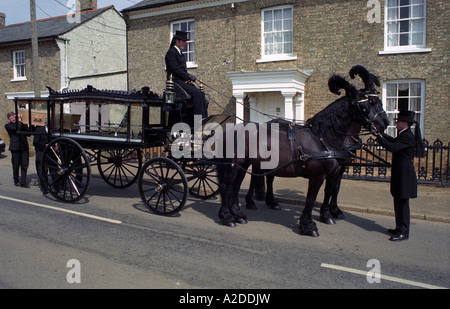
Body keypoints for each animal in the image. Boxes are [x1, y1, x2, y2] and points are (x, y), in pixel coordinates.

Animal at [216, 65, 388, 236]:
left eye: (380, 101)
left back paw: (239, 214)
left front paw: (327, 215)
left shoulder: (335, 170)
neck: (323, 136)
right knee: (226, 187)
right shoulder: (318, 175)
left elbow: (331, 190)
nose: (385, 123)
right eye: (369, 102)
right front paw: (309, 225)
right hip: (233, 165)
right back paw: (227, 217)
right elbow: (311, 198)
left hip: (243, 165)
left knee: (236, 187)